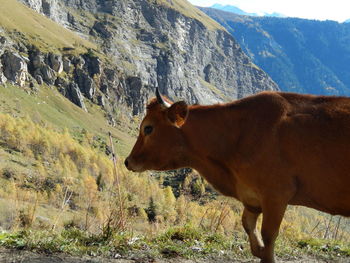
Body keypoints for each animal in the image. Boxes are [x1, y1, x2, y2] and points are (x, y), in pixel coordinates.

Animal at [125, 89, 350, 263]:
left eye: (148, 128)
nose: (128, 161)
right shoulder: (251, 197)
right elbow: (250, 232)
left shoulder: (276, 194)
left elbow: (268, 239)